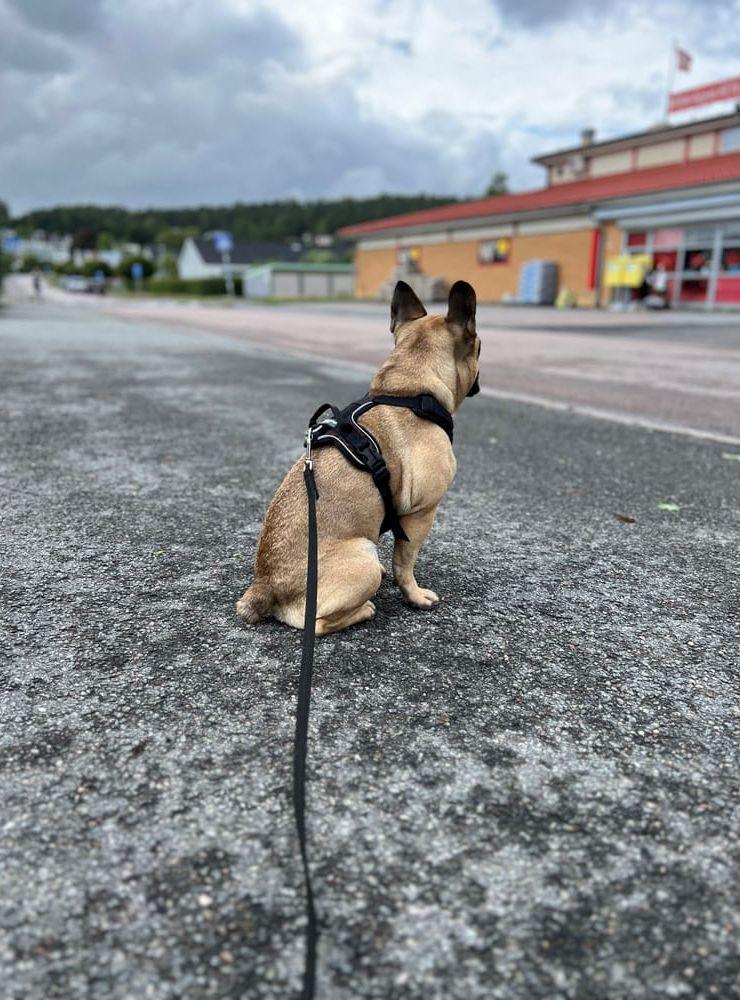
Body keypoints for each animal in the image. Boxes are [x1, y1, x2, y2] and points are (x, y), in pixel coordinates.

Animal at [234, 276, 482, 632]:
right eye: (480, 347)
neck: (408, 390)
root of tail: (263, 587)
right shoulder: (421, 513)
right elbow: (405, 563)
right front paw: (415, 596)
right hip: (363, 555)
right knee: (318, 622)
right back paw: (365, 609)